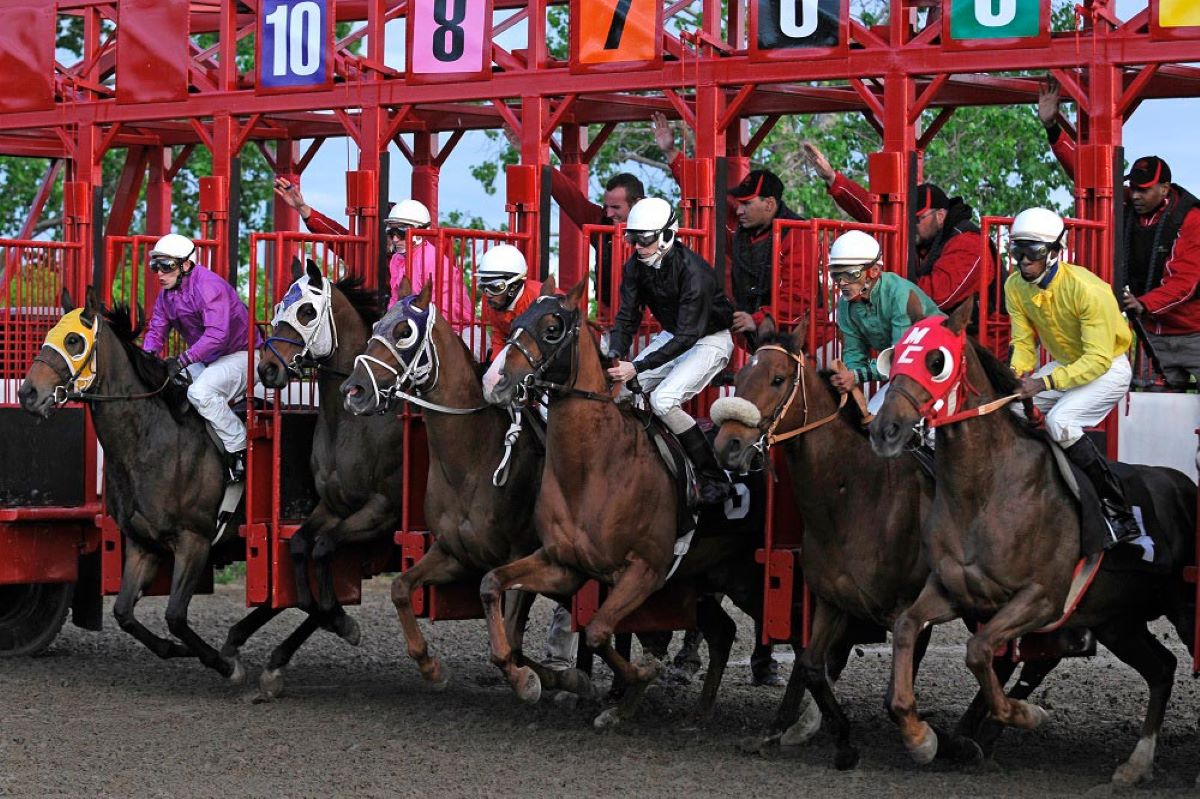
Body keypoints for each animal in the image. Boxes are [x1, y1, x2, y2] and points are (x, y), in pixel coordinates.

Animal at [17, 287, 242, 676]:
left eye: (74, 340)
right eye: (47, 335)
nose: (27, 393)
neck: (152, 441)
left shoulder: (195, 539)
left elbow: (175, 616)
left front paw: (226, 663)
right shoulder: (142, 543)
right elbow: (124, 612)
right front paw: (175, 649)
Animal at [338, 278, 595, 695]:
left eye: (403, 331)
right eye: (376, 326)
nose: (354, 390)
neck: (473, 459)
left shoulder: (523, 552)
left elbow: (510, 639)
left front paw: (531, 678)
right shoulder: (454, 552)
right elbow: (400, 588)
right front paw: (431, 666)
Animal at [477, 281, 758, 729]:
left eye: (553, 327)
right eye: (515, 321)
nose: (496, 380)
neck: (592, 470)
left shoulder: (645, 569)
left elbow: (596, 631)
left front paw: (639, 675)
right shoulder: (564, 565)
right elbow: (491, 584)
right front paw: (525, 679)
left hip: (746, 578)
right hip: (705, 577)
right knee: (724, 631)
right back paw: (699, 712)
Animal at [868, 299, 1195, 782]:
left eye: (935, 361)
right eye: (893, 357)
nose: (884, 430)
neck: (985, 490)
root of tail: (1186, 484)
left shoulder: (1041, 598)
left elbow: (979, 650)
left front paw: (1027, 714)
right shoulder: (955, 590)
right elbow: (909, 626)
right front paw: (919, 736)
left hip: (1182, 608)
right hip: (1119, 620)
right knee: (1162, 668)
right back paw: (1136, 763)